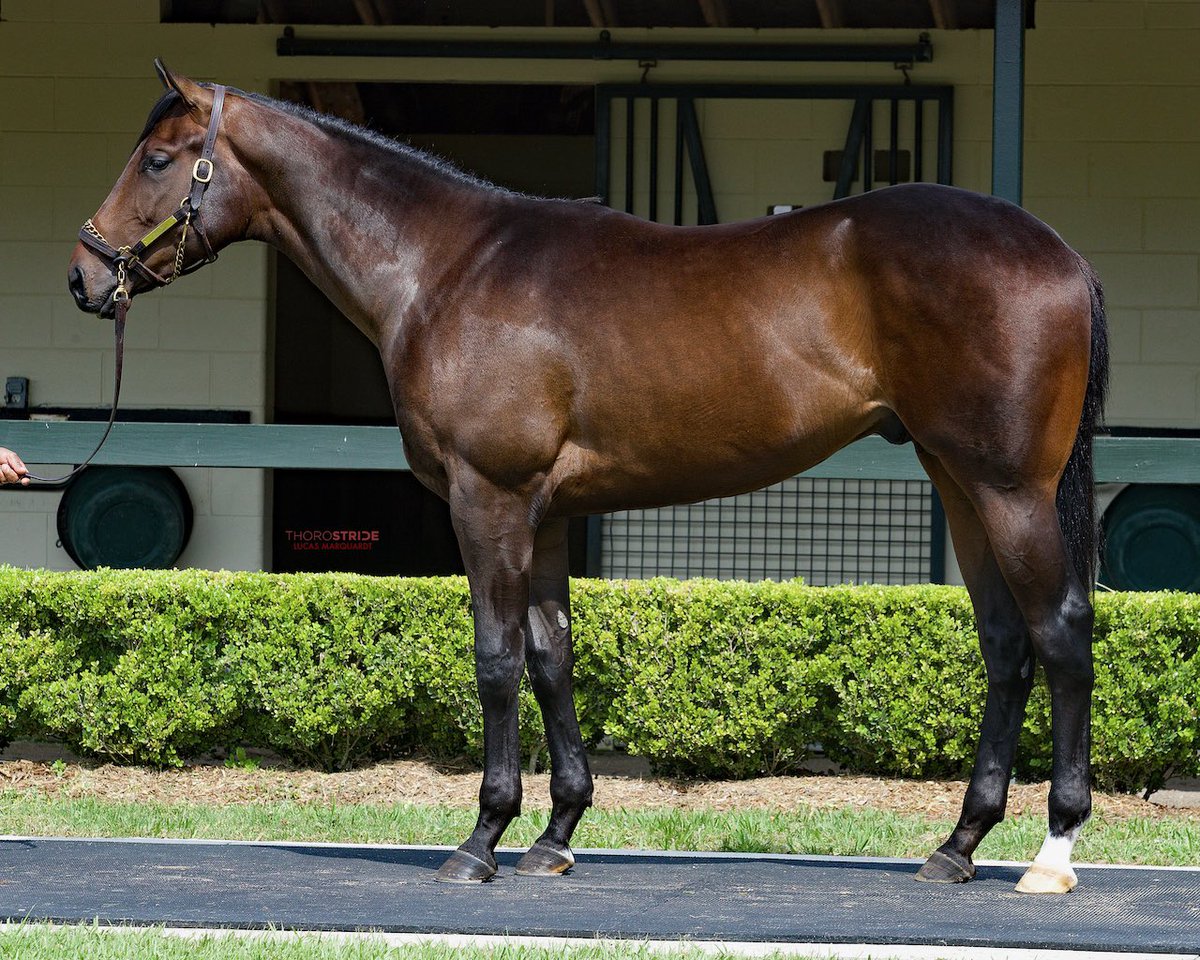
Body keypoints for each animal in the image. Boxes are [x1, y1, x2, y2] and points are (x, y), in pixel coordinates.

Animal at [68, 62, 1108, 895]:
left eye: (157, 159)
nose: (84, 277)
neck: (443, 267)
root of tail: (1061, 251)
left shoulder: (487, 499)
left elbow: (494, 661)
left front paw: (481, 839)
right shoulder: (547, 514)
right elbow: (551, 655)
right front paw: (555, 834)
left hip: (1009, 490)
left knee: (1059, 635)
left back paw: (1052, 851)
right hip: (957, 481)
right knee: (1005, 646)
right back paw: (958, 845)